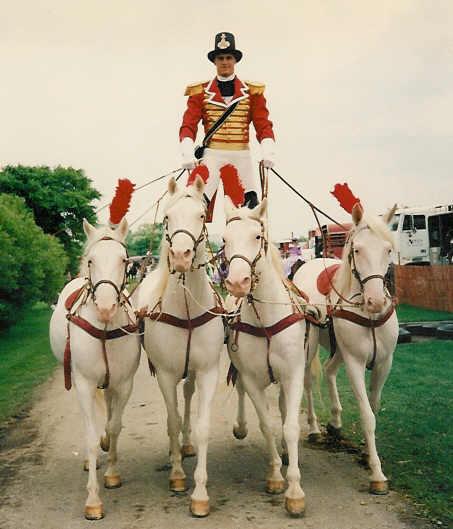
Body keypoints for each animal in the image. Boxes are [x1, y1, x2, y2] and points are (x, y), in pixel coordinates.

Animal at [48, 217, 140, 516]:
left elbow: (114, 427)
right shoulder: (84, 384)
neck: (105, 329)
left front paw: (112, 473)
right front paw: (93, 500)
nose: (106, 307)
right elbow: (90, 436)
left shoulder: (124, 384)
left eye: (124, 261)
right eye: (91, 260)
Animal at [137, 176, 223, 516]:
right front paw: (176, 475)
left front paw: (200, 493)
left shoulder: (209, 371)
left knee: (187, 396)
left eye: (201, 215)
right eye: (166, 218)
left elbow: (203, 427)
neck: (186, 308)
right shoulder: (165, 373)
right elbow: (172, 421)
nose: (182, 256)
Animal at [222, 197, 308, 516]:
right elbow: (266, 424)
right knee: (241, 392)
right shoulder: (252, 377)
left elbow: (291, 426)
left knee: (284, 407)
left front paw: (295, 491)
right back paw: (241, 427)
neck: (266, 321)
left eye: (258, 236)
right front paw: (275, 476)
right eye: (224, 240)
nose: (237, 282)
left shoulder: (293, 374)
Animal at [294, 203, 396, 496]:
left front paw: (367, 452)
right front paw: (377, 474)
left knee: (329, 370)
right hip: (311, 348)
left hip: (337, 349)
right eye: (357, 250)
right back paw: (315, 427)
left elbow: (374, 406)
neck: (369, 317)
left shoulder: (384, 363)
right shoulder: (354, 362)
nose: (375, 301)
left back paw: (336, 421)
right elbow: (367, 415)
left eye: (388, 249)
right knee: (308, 382)